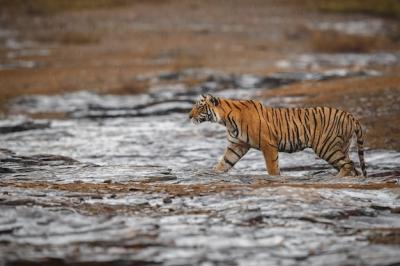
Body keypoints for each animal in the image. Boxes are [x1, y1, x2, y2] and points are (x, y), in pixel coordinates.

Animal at [189, 94, 368, 178]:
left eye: (199, 107)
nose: (189, 116)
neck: (226, 120)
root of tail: (350, 115)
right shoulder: (237, 145)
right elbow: (223, 164)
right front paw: (211, 174)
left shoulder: (268, 145)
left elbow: (272, 168)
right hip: (340, 146)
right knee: (353, 168)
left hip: (326, 147)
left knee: (349, 164)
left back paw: (333, 177)